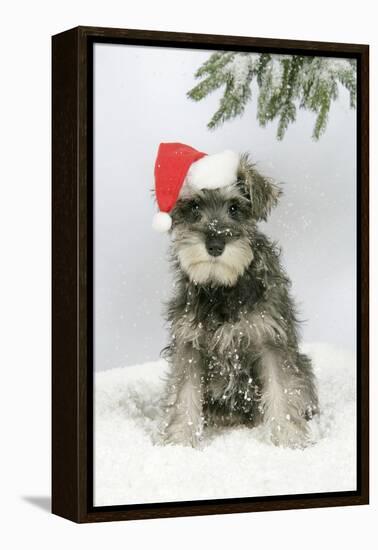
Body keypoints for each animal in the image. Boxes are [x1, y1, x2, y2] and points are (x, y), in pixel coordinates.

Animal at [157, 150, 318, 448]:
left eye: (234, 207)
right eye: (194, 207)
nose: (214, 245)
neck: (222, 287)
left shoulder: (270, 340)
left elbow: (282, 390)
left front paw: (289, 439)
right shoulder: (189, 344)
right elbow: (184, 394)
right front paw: (181, 440)